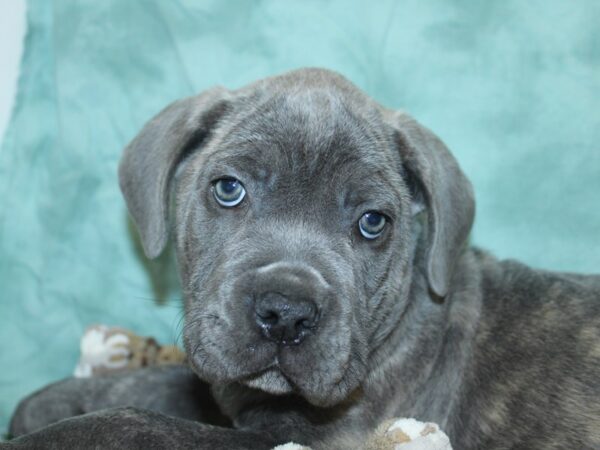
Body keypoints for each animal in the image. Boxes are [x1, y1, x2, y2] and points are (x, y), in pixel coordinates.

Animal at [5, 67, 600, 450]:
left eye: (372, 222)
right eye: (228, 189)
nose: (286, 314)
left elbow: (139, 422)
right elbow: (156, 385)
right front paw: (49, 400)